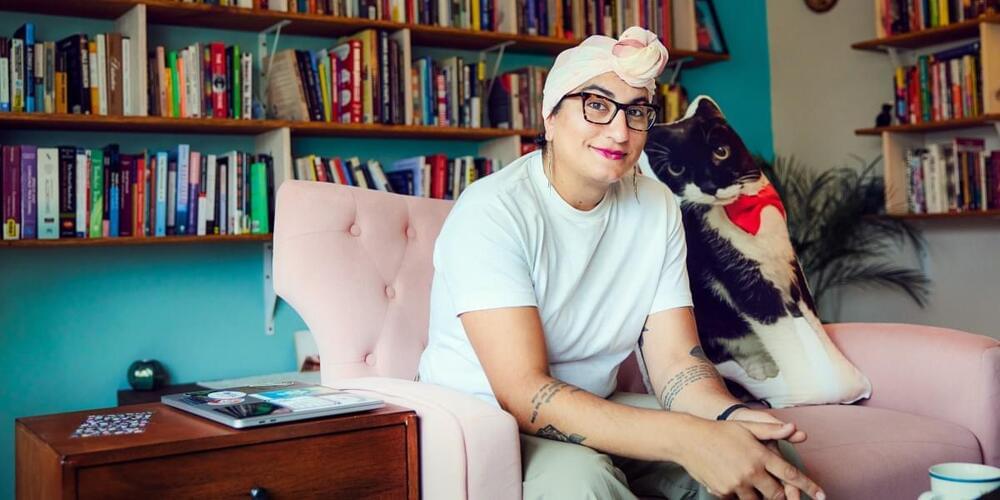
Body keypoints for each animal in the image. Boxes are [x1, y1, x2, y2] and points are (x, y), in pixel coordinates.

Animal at [642, 96, 821, 385]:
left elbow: (811, 314)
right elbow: (780, 333)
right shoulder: (740, 276)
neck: (741, 215)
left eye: (721, 151)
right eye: (676, 169)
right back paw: (761, 365)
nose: (709, 185)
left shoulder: (789, 260)